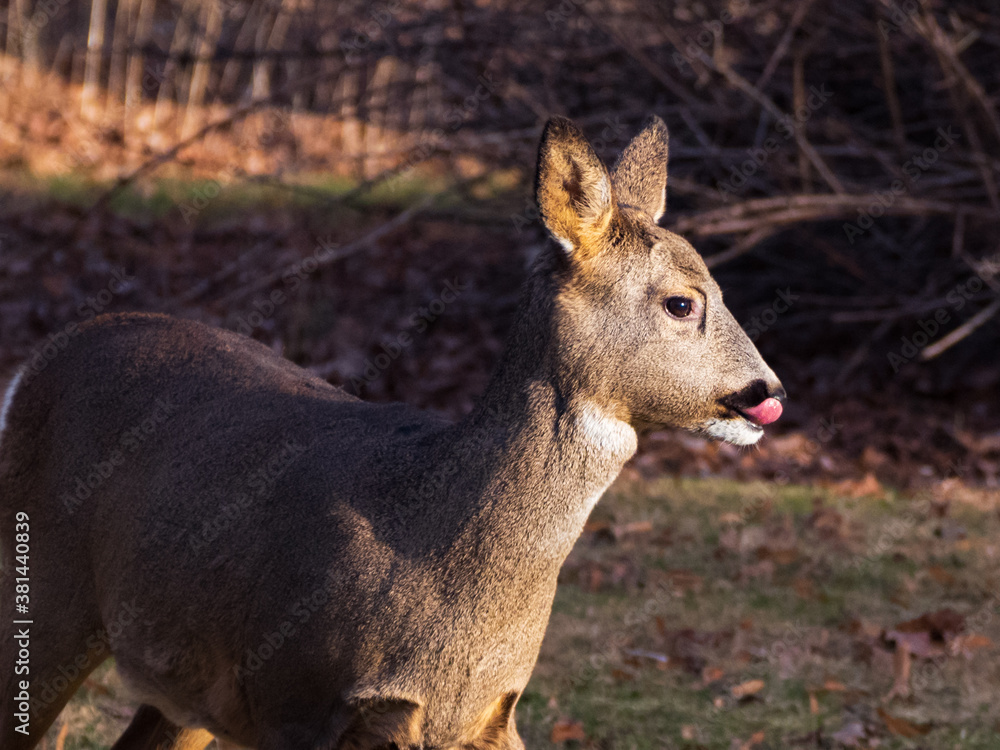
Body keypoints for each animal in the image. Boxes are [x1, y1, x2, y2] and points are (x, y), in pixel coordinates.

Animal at [0, 115, 784, 750]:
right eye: (682, 303)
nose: (768, 394)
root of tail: (41, 357)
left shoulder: (487, 717)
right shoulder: (294, 698)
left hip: (186, 679)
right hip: (46, 587)